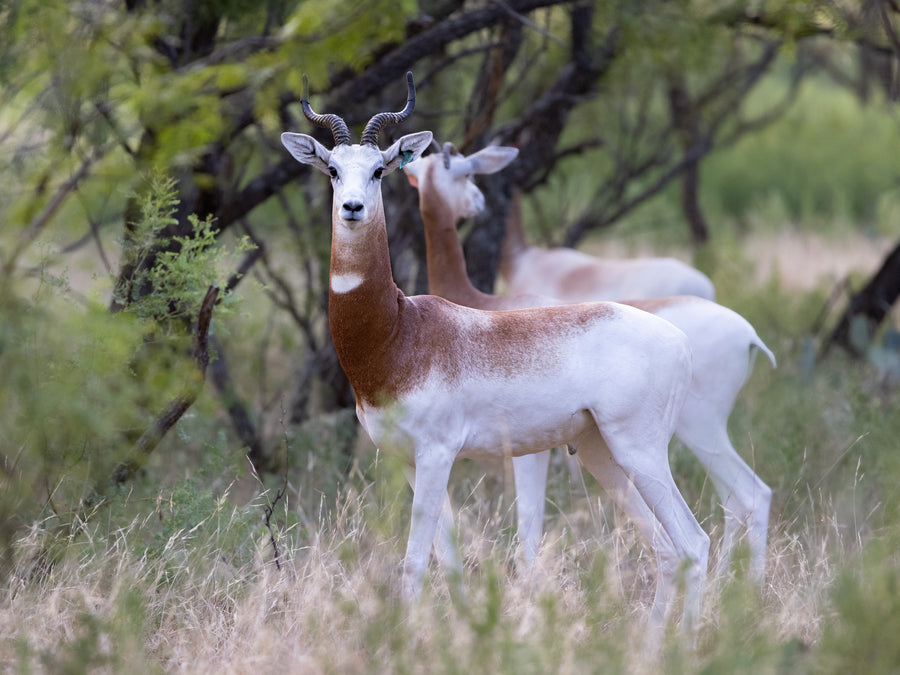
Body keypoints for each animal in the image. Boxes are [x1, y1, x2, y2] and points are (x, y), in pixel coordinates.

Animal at [281, 73, 709, 636]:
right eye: (332, 169)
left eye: (378, 170)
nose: (352, 208)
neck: (400, 332)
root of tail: (679, 339)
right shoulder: (409, 462)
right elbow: (448, 557)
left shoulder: (437, 454)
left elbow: (414, 560)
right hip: (602, 453)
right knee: (665, 548)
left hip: (641, 451)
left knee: (694, 542)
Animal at [404, 142, 776, 582]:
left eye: (466, 172)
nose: (477, 204)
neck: (485, 306)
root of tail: (748, 334)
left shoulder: (529, 452)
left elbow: (528, 526)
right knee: (739, 499)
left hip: (698, 430)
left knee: (748, 495)